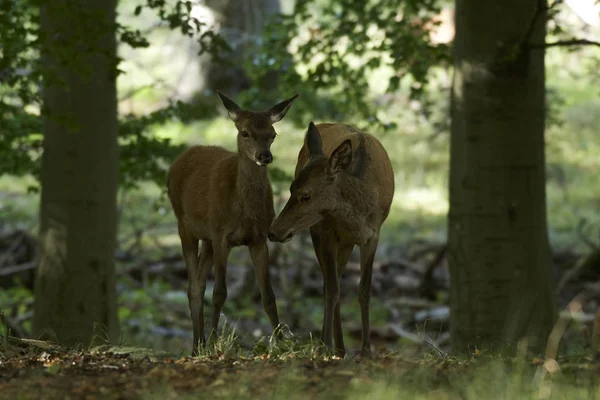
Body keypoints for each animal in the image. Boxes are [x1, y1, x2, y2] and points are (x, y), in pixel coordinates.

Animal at [168, 90, 298, 354]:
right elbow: (220, 292)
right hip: (184, 226)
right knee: (193, 287)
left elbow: (268, 295)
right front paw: (215, 342)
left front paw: (280, 344)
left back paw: (199, 343)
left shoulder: (259, 238)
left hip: (207, 238)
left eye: (273, 134)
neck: (243, 209)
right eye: (244, 132)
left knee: (198, 283)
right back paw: (198, 346)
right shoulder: (221, 235)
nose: (264, 156)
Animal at [268, 122, 394, 356]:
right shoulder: (325, 232)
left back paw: (342, 348)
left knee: (337, 278)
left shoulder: (373, 234)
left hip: (345, 242)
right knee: (329, 282)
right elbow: (332, 289)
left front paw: (366, 350)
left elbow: (364, 290)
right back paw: (337, 348)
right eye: (291, 188)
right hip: (321, 233)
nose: (272, 232)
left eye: (306, 195)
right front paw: (324, 345)